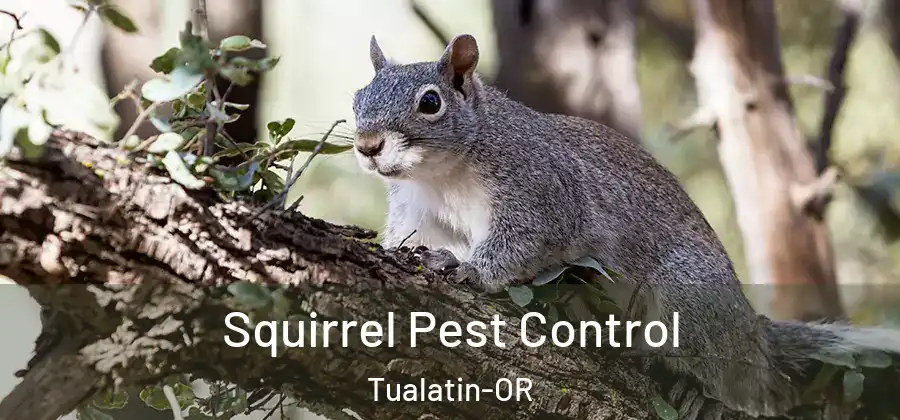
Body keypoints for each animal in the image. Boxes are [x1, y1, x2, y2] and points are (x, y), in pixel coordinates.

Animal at [351, 34, 900, 418]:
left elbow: (524, 241)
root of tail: (751, 332)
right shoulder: (419, 212)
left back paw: (702, 392)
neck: (442, 174)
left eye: (430, 102)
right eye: (358, 97)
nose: (367, 145)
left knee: (743, 384)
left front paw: (469, 270)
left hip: (689, 298)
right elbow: (410, 238)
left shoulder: (543, 191)